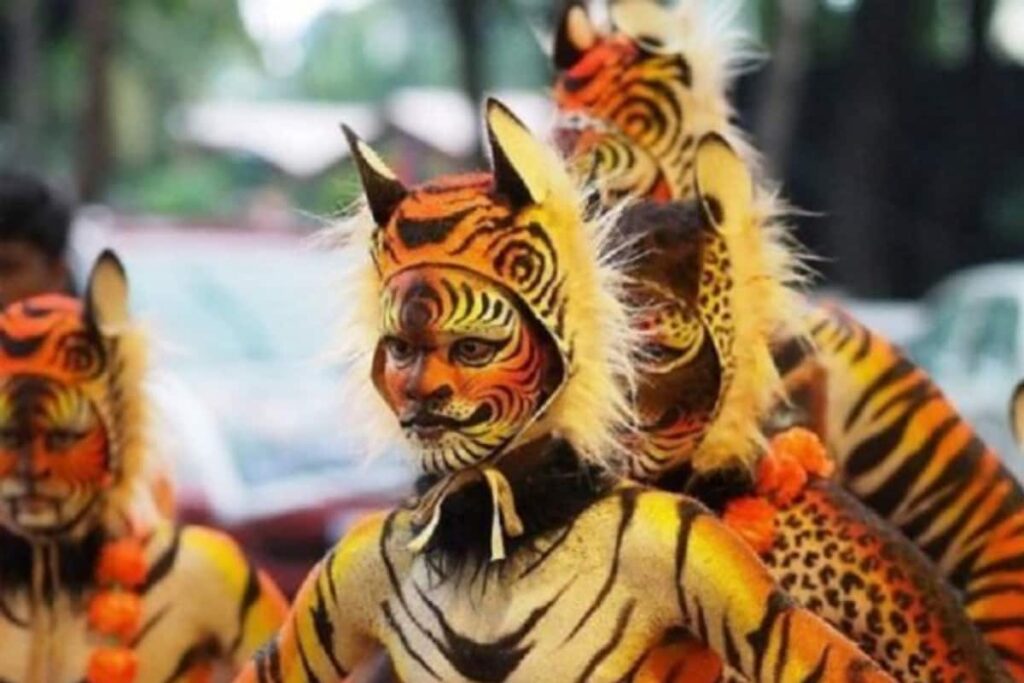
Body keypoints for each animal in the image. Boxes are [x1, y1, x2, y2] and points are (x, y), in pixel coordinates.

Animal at [236, 99, 893, 683]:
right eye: (401, 349)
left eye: (472, 349)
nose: (423, 395)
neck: (499, 512)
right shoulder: (359, 557)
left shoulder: (684, 537)